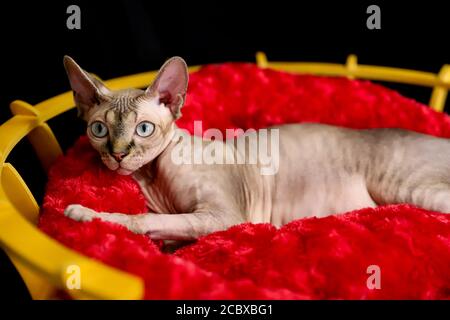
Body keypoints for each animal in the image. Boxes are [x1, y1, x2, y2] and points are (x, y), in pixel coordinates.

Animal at [62, 55, 450, 240]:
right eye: (99, 129)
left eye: (143, 129)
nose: (118, 154)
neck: (153, 177)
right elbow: (160, 227)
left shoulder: (224, 218)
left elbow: (141, 219)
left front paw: (86, 214)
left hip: (405, 188)